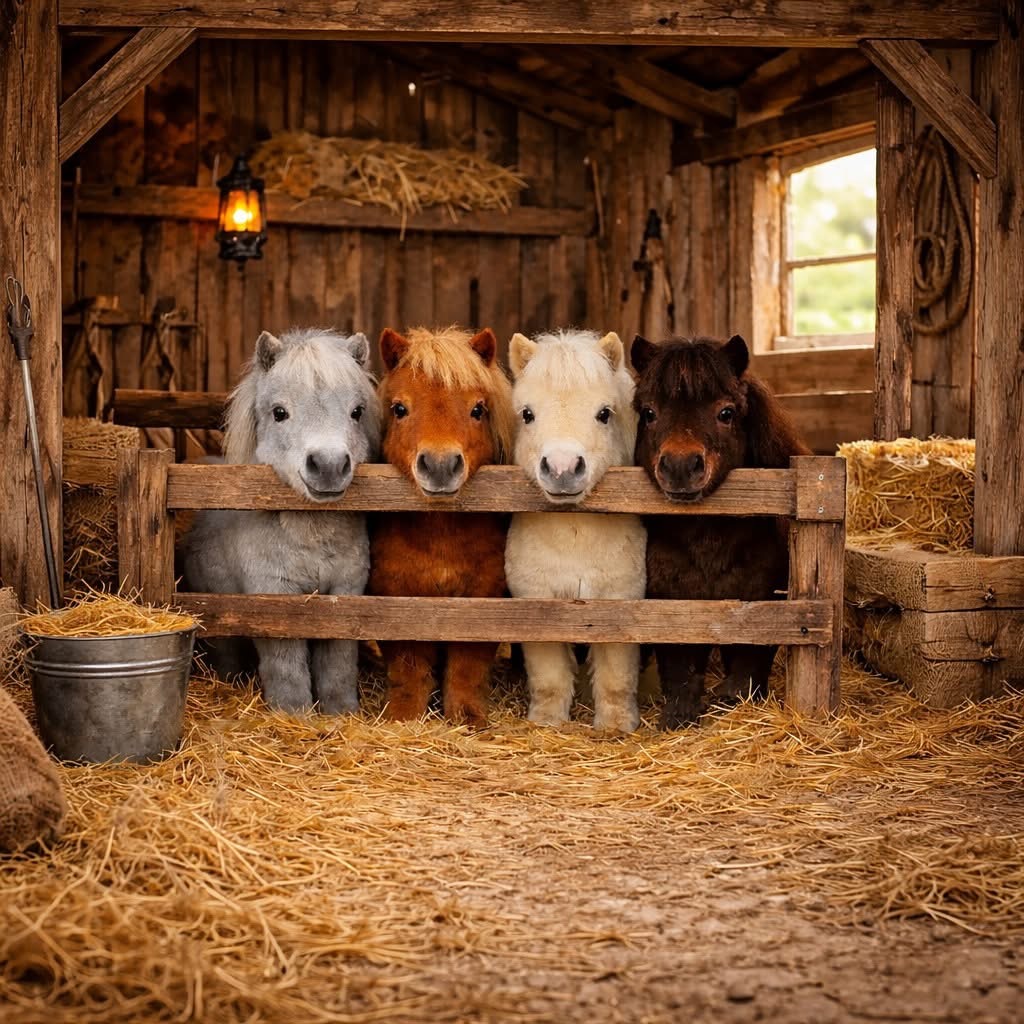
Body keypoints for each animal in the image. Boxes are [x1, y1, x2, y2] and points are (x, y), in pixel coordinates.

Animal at [183, 327, 381, 713]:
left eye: (357, 411)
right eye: (279, 413)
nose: (329, 466)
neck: (311, 539)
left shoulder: (346, 592)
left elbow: (338, 661)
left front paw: (341, 711)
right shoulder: (274, 595)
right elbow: (286, 665)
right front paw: (294, 713)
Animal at [369, 326, 515, 727]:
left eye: (477, 409)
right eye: (399, 408)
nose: (439, 465)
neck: (440, 539)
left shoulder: (484, 597)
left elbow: (466, 666)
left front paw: (468, 718)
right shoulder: (394, 596)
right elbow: (409, 668)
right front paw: (403, 717)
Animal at [504, 330, 646, 732]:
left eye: (604, 413)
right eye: (528, 414)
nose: (562, 468)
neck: (574, 539)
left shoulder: (620, 602)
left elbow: (616, 677)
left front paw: (616, 725)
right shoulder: (536, 602)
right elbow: (550, 677)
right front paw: (546, 721)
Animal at [630, 333, 810, 729]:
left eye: (726, 413)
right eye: (648, 413)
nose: (681, 466)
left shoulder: (760, 603)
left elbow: (747, 668)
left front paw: (735, 705)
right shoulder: (669, 603)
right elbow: (680, 670)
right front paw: (679, 716)